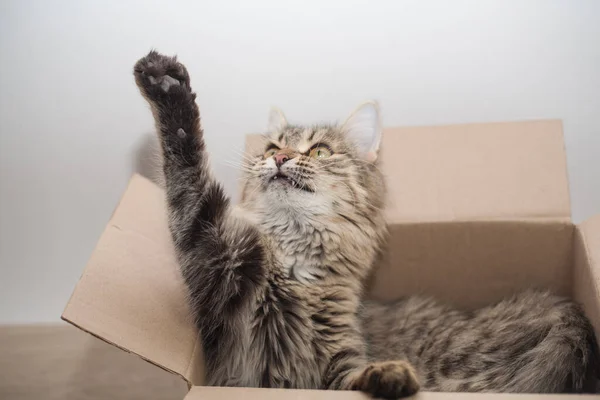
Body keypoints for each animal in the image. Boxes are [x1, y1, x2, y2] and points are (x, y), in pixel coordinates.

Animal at [134, 50, 596, 396]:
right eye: (272, 147)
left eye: (319, 152)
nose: (280, 158)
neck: (295, 260)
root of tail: (568, 312)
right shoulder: (214, 255)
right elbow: (187, 165)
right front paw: (163, 82)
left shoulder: (339, 360)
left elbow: (357, 376)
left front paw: (391, 377)